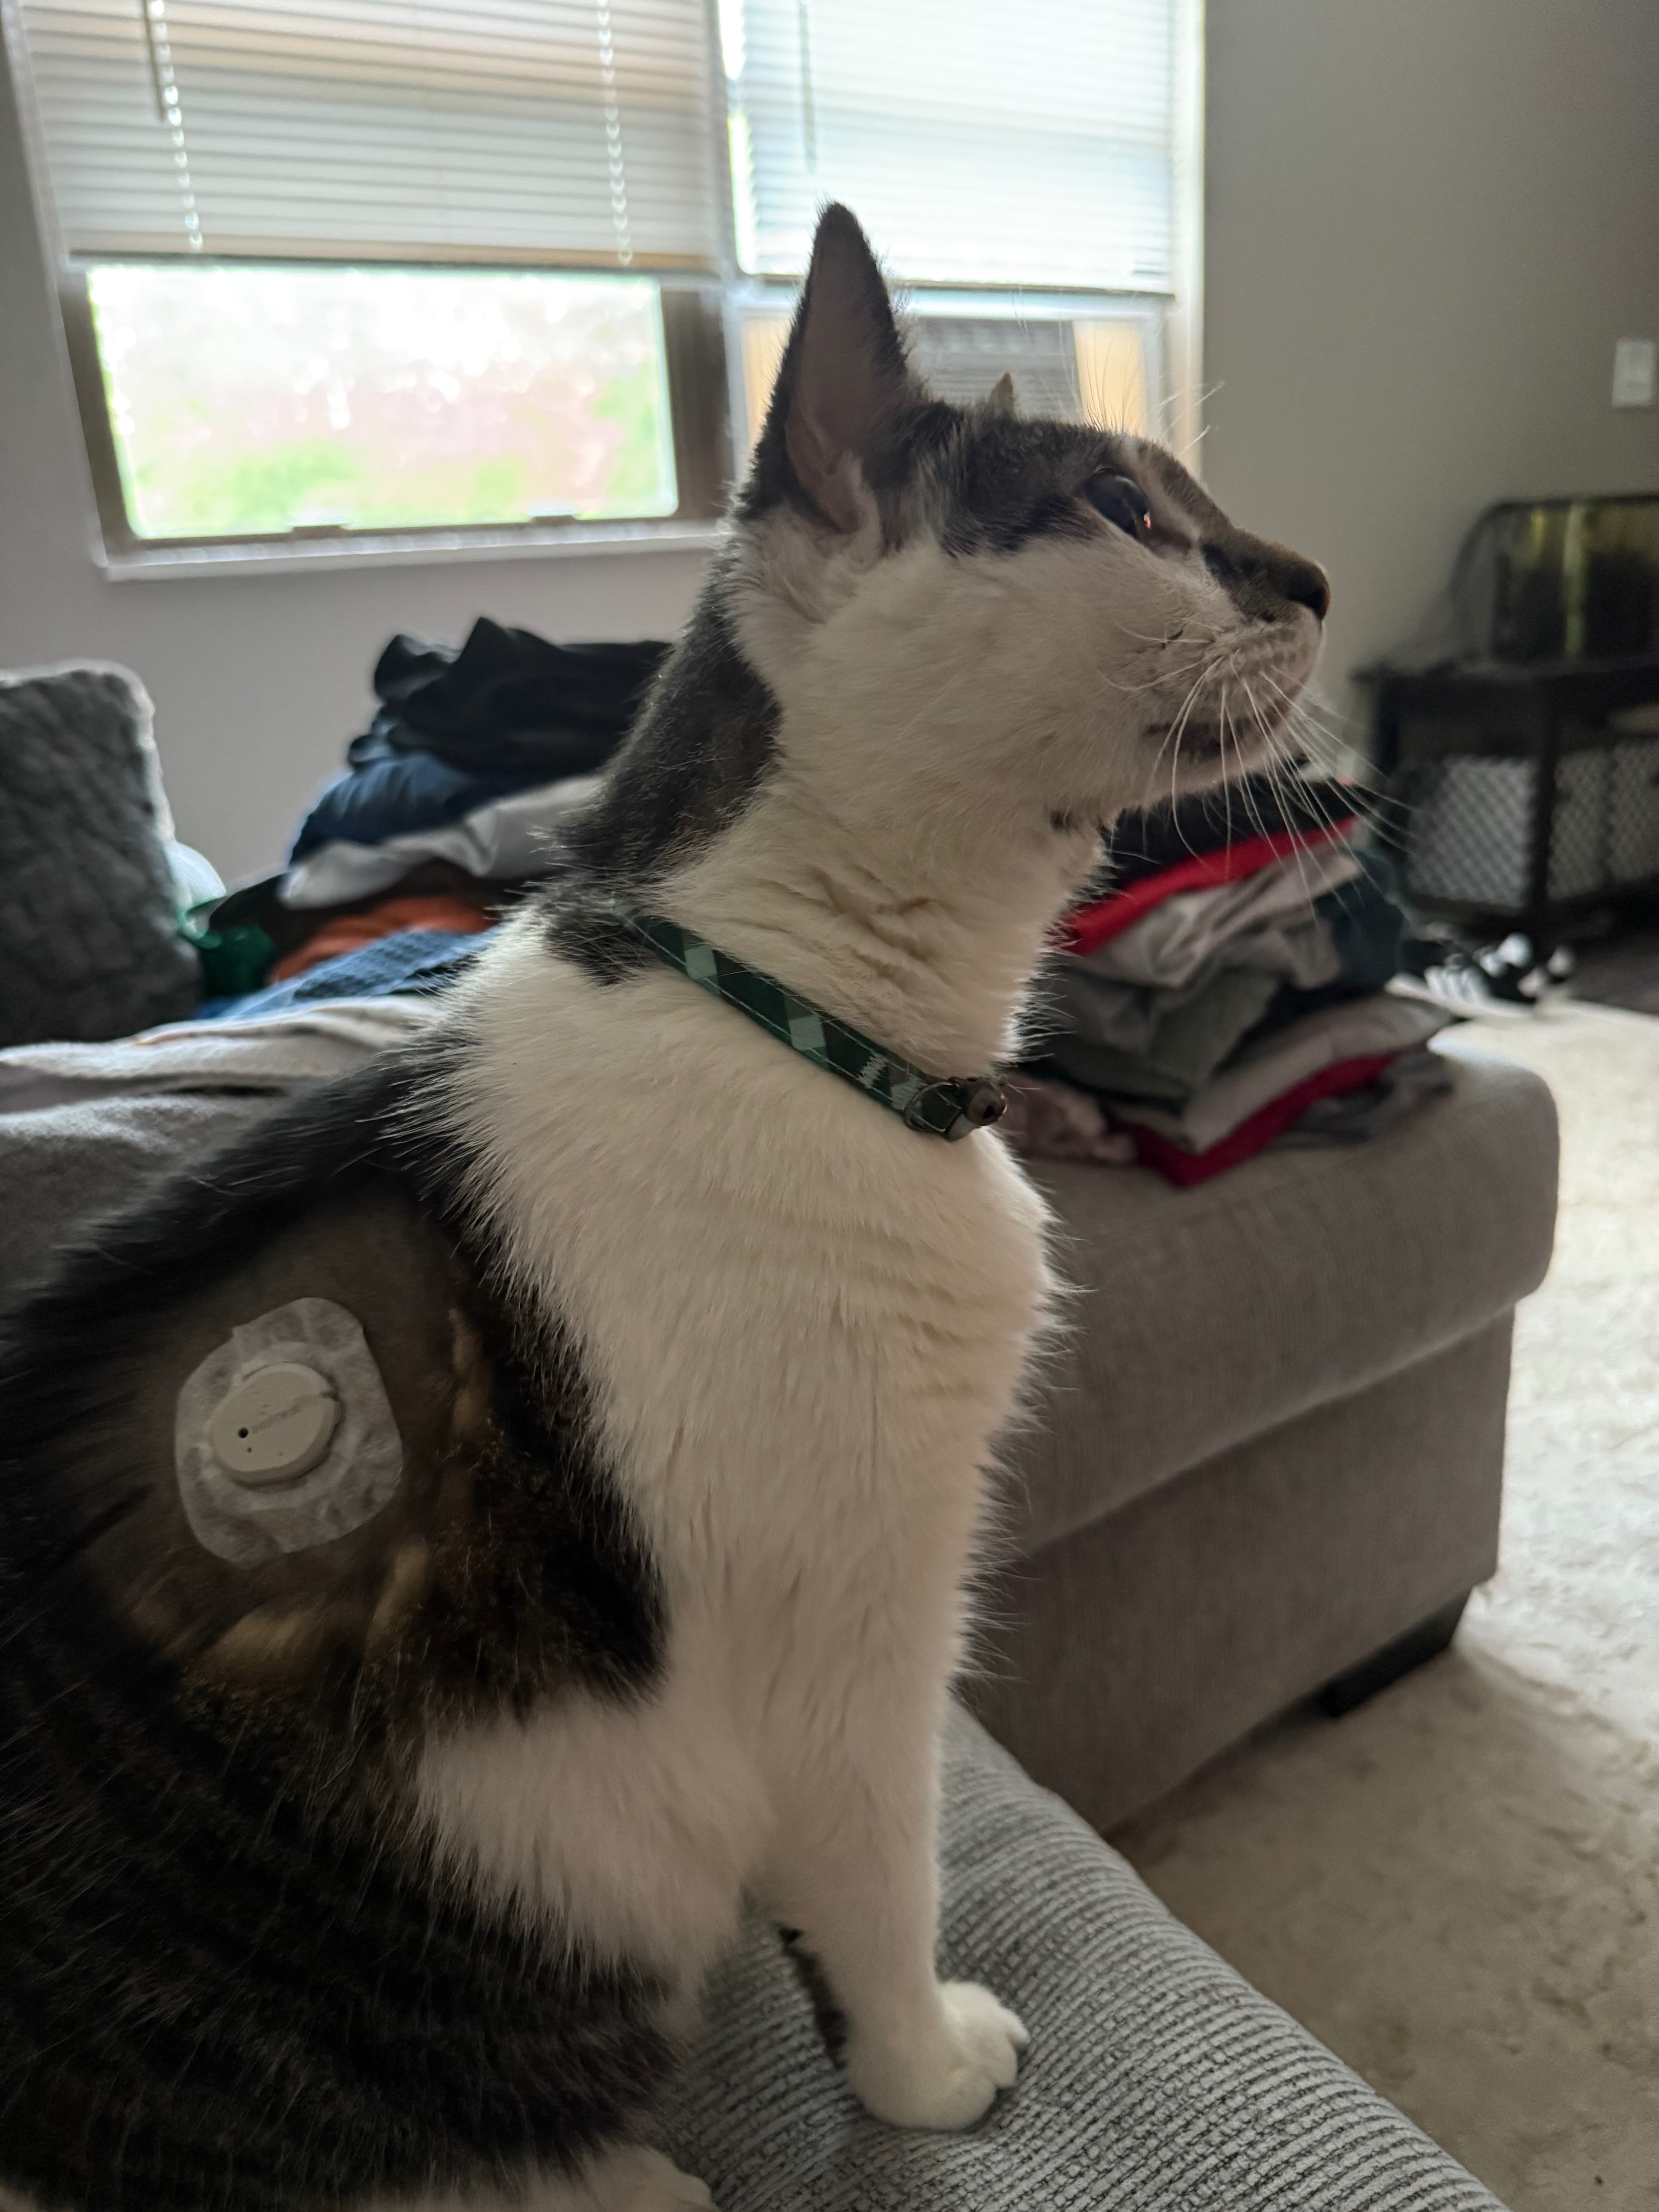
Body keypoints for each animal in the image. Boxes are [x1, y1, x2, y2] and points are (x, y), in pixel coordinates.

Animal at [0, 205, 1328, 2212]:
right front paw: (925, 2066)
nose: (1317, 575)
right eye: (1124, 507)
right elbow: (881, 1874)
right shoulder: (856, 1627)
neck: (793, 1016)